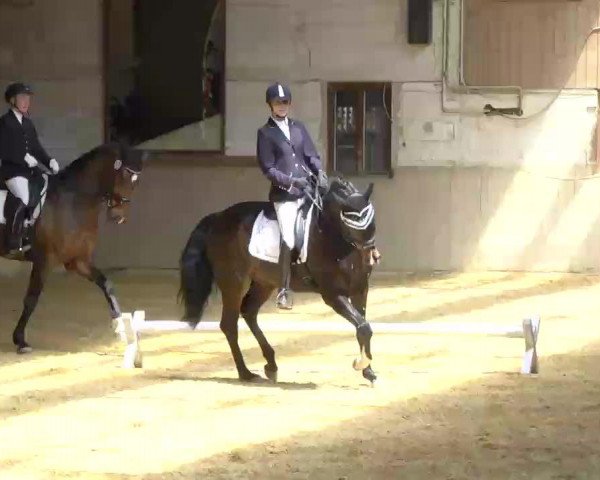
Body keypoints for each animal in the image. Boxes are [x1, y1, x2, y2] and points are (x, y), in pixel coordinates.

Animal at [0, 142, 144, 352]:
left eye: (136, 181)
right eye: (124, 174)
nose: (118, 216)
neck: (74, 202)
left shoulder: (77, 261)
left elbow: (107, 284)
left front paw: (119, 328)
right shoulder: (45, 261)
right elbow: (31, 299)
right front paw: (20, 340)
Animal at [178, 178, 380, 384]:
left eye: (371, 218)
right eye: (350, 221)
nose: (371, 257)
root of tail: (218, 217)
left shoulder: (360, 289)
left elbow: (363, 327)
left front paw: (368, 370)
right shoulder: (332, 294)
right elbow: (363, 326)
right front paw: (361, 365)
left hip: (264, 283)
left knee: (249, 312)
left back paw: (271, 365)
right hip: (234, 283)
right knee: (229, 324)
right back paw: (245, 373)